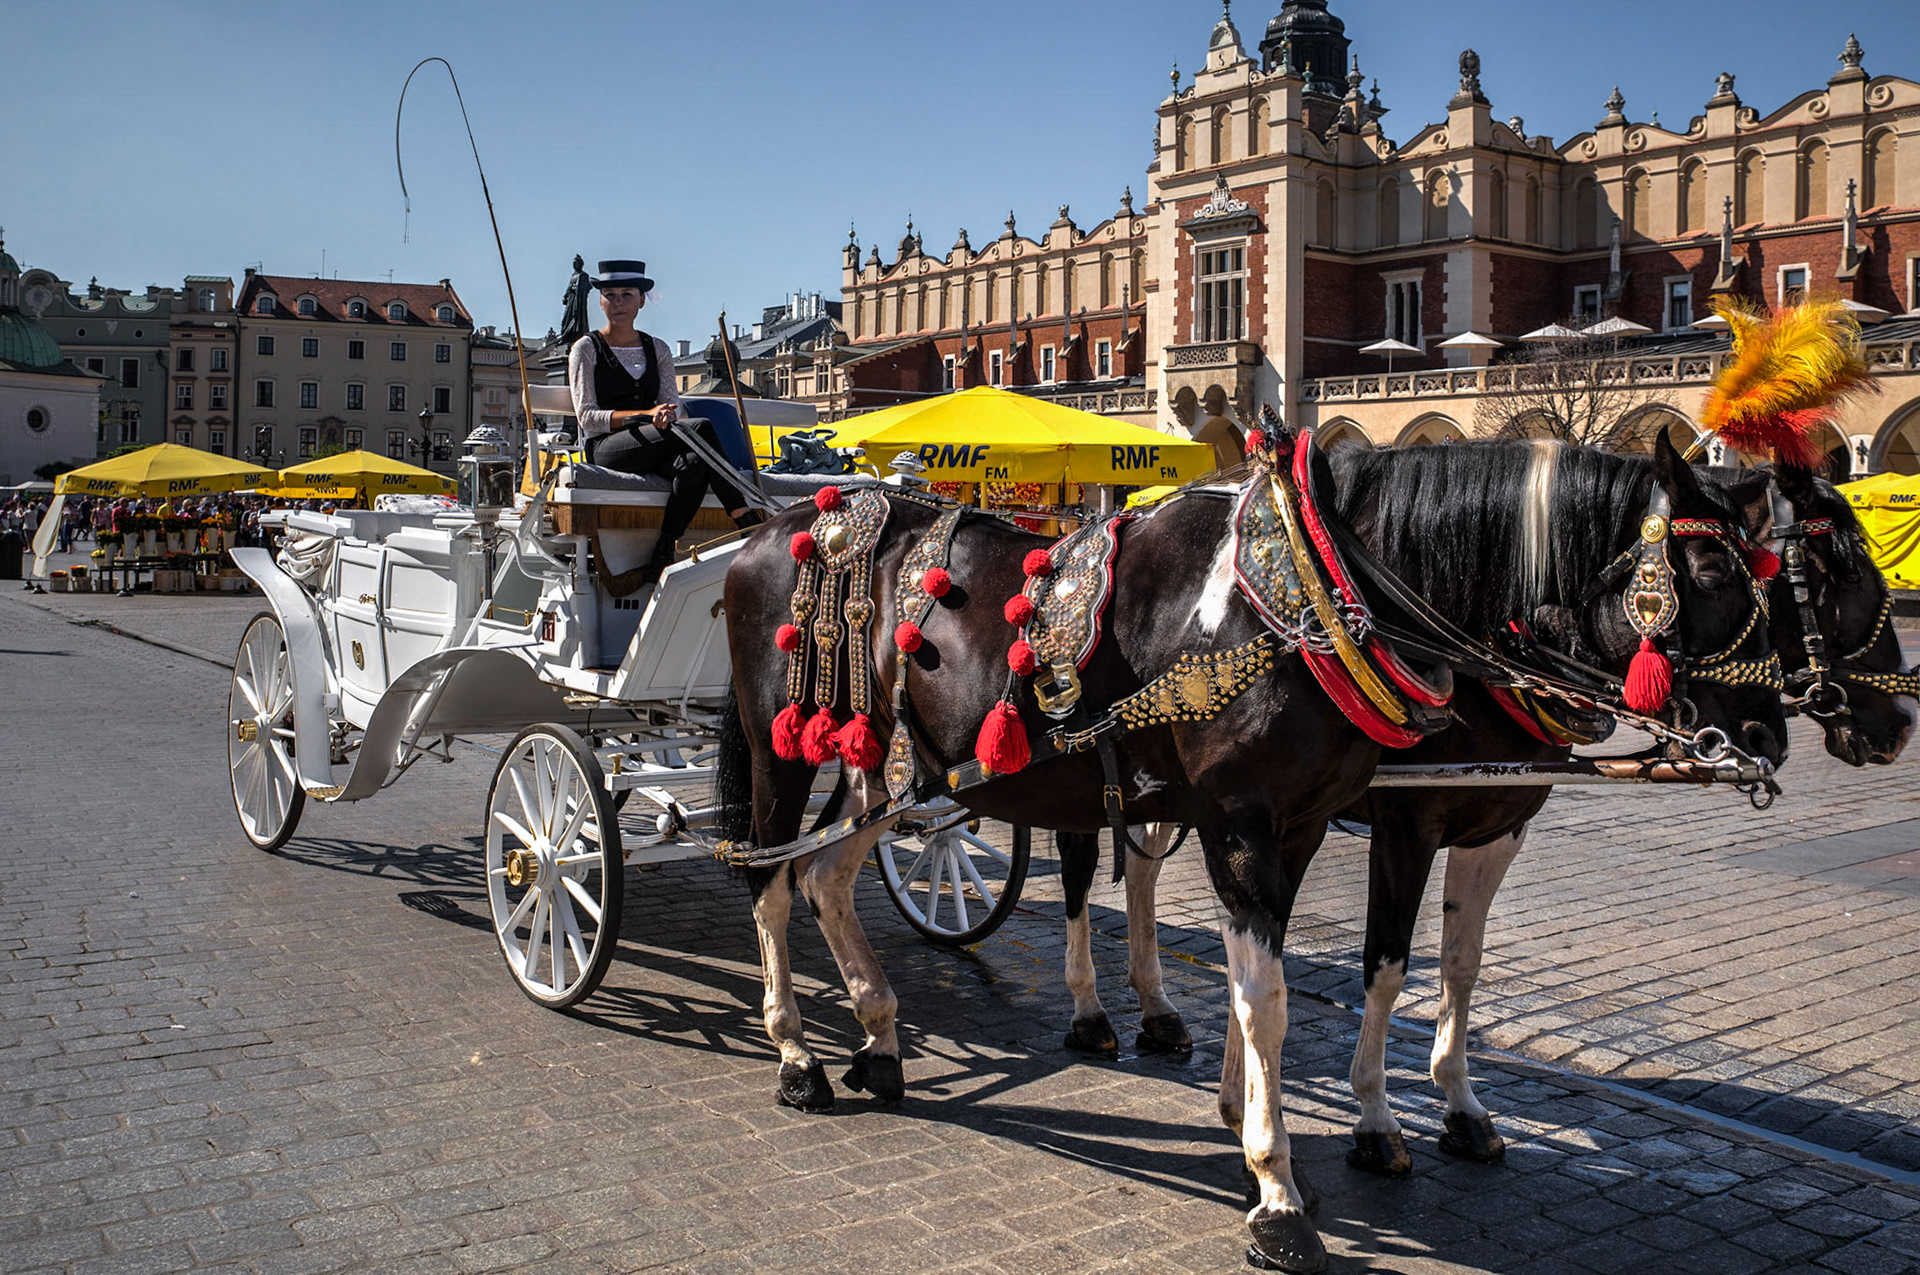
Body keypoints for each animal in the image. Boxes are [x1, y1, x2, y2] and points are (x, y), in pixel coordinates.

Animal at [718, 430, 1779, 1272]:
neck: (1309, 595)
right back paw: (796, 1054)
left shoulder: (1333, 824)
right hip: (781, 744)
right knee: (769, 881)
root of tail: (778, 527)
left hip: (887, 769)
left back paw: (881, 1038)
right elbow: (1288, 991)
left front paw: (1260, 1123)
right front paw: (1280, 1188)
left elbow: (1303, 977)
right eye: (1713, 575)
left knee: (827, 875)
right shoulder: (1268, 821)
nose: (1770, 734)